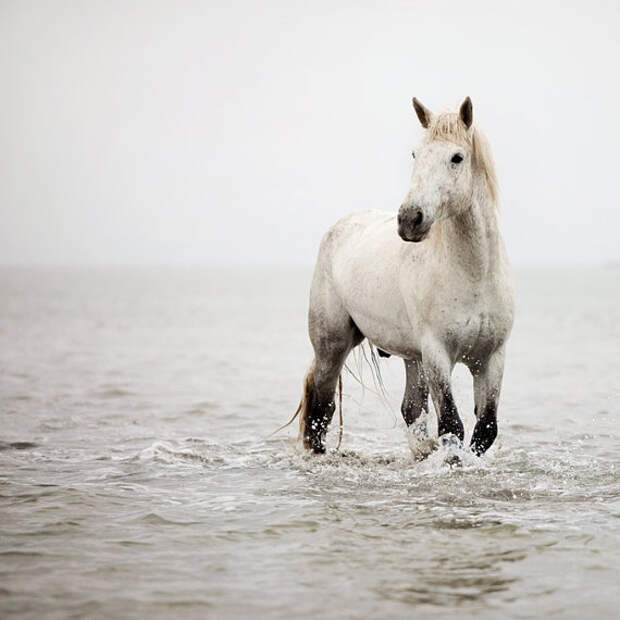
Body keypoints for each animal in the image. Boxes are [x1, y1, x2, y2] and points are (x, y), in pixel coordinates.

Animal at [296, 95, 512, 456]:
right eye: (415, 154)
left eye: (457, 157)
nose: (410, 219)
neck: (474, 276)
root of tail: (340, 228)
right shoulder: (437, 354)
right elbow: (452, 426)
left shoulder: (491, 358)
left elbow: (485, 430)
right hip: (332, 346)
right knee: (320, 407)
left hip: (413, 358)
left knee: (411, 409)